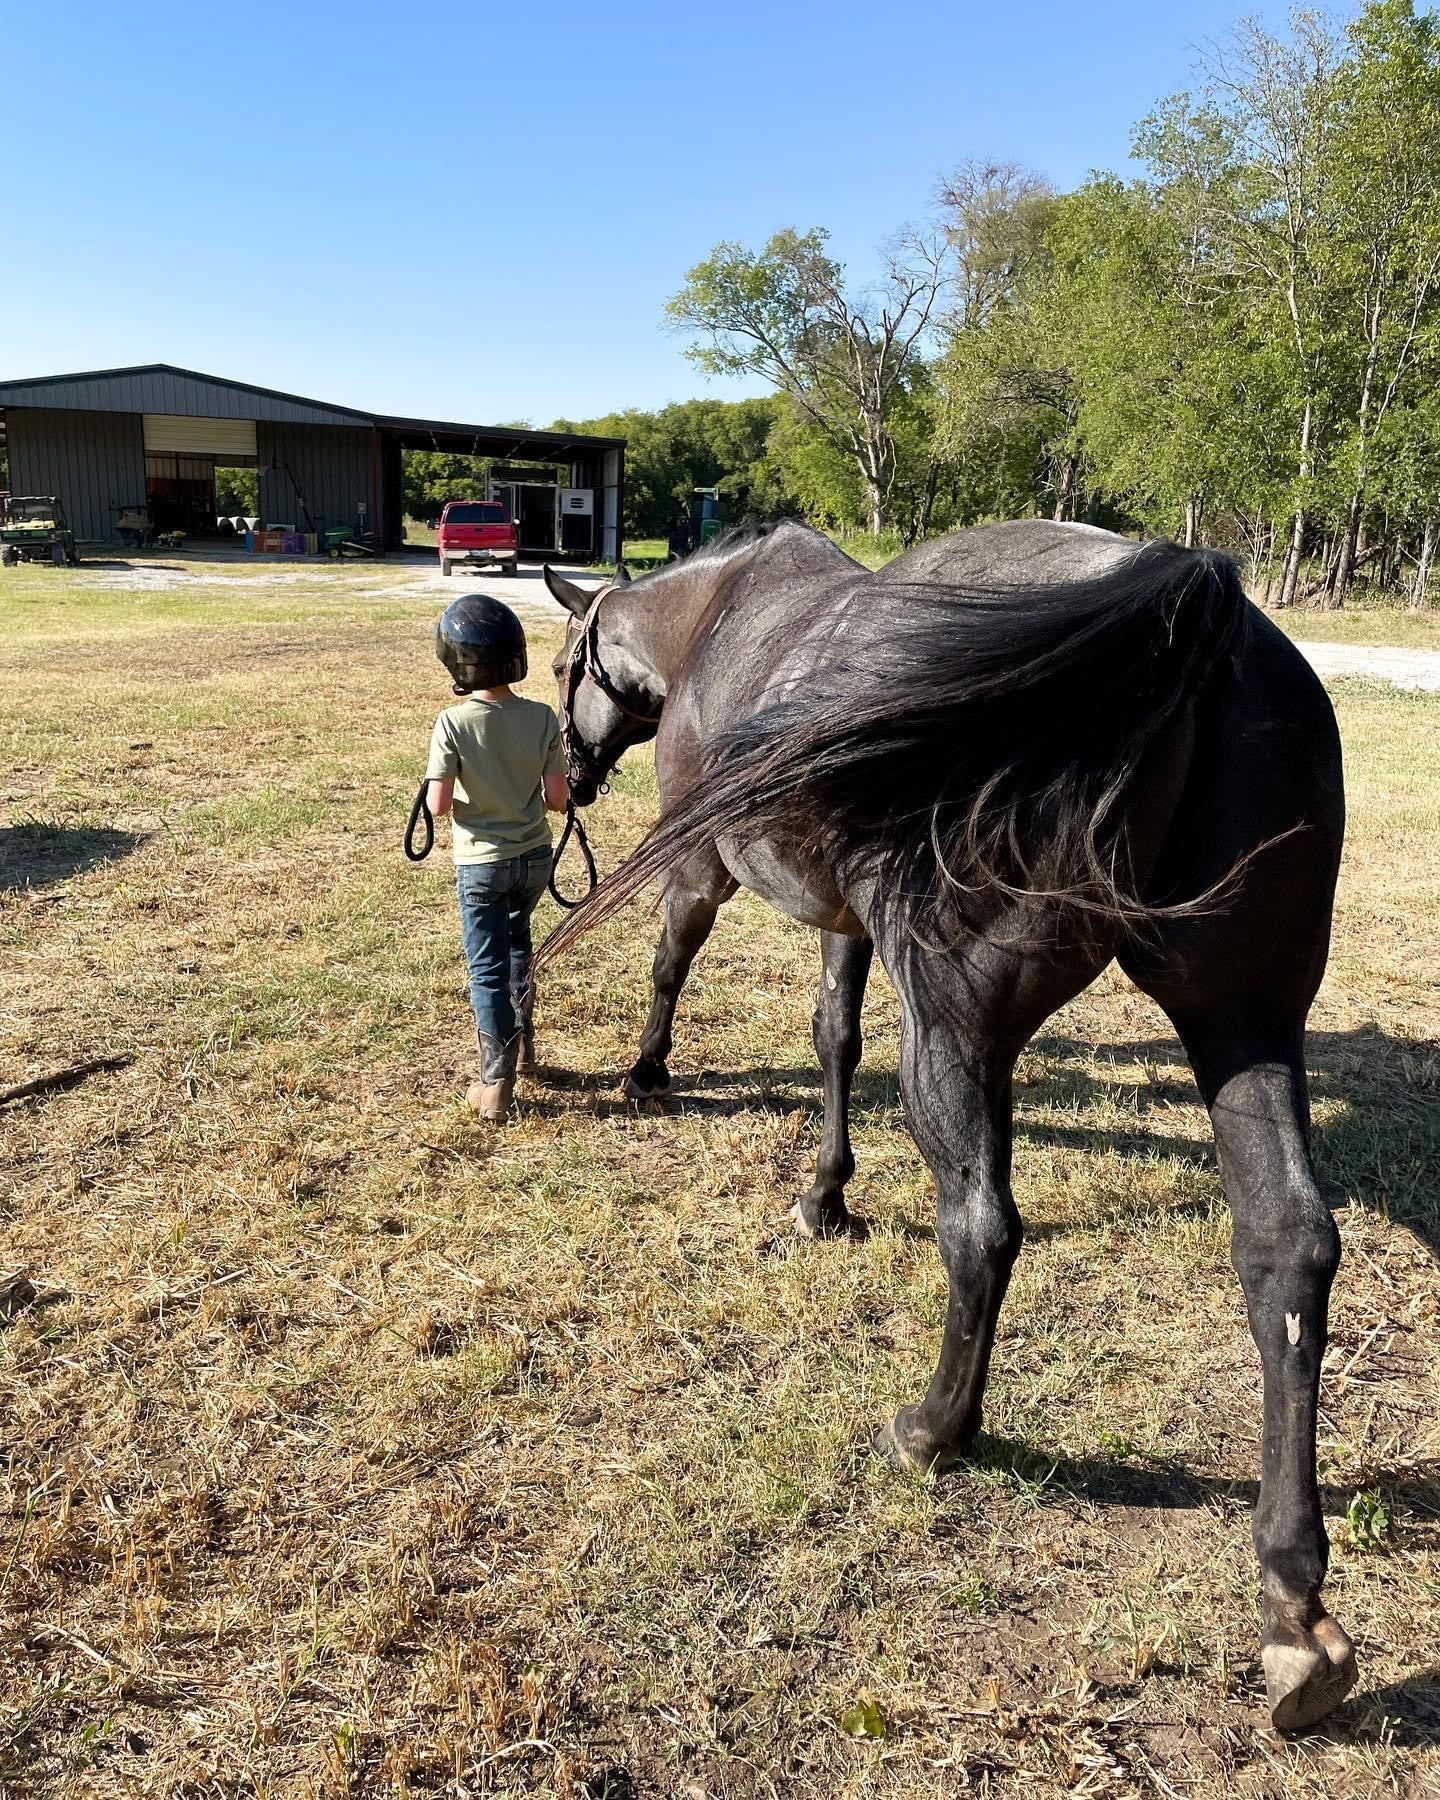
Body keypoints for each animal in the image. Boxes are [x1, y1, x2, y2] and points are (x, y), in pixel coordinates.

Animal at [536, 518, 1353, 1728]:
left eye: (561, 667)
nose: (566, 782)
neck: (722, 625)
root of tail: (1193, 616)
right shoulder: (845, 919)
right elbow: (834, 1036)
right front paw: (825, 1195)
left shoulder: (702, 868)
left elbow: (671, 962)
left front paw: (646, 1074)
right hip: (1243, 1017)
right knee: (1287, 1249)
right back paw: (1293, 1606)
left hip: (964, 1021)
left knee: (980, 1228)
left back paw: (934, 1432)